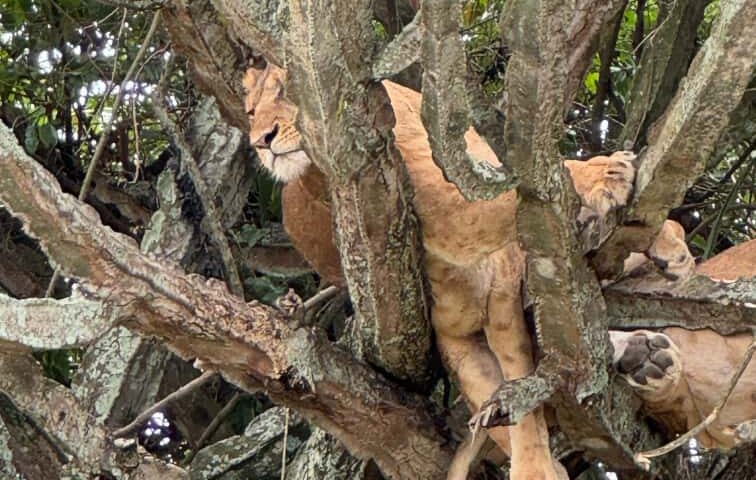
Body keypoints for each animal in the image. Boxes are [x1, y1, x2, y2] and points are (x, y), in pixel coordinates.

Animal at [243, 63, 703, 479]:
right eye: (250, 111)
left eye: (286, 91)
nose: (260, 141)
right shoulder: (443, 212)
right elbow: (523, 191)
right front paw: (604, 173)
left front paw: (664, 239)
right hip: (466, 349)